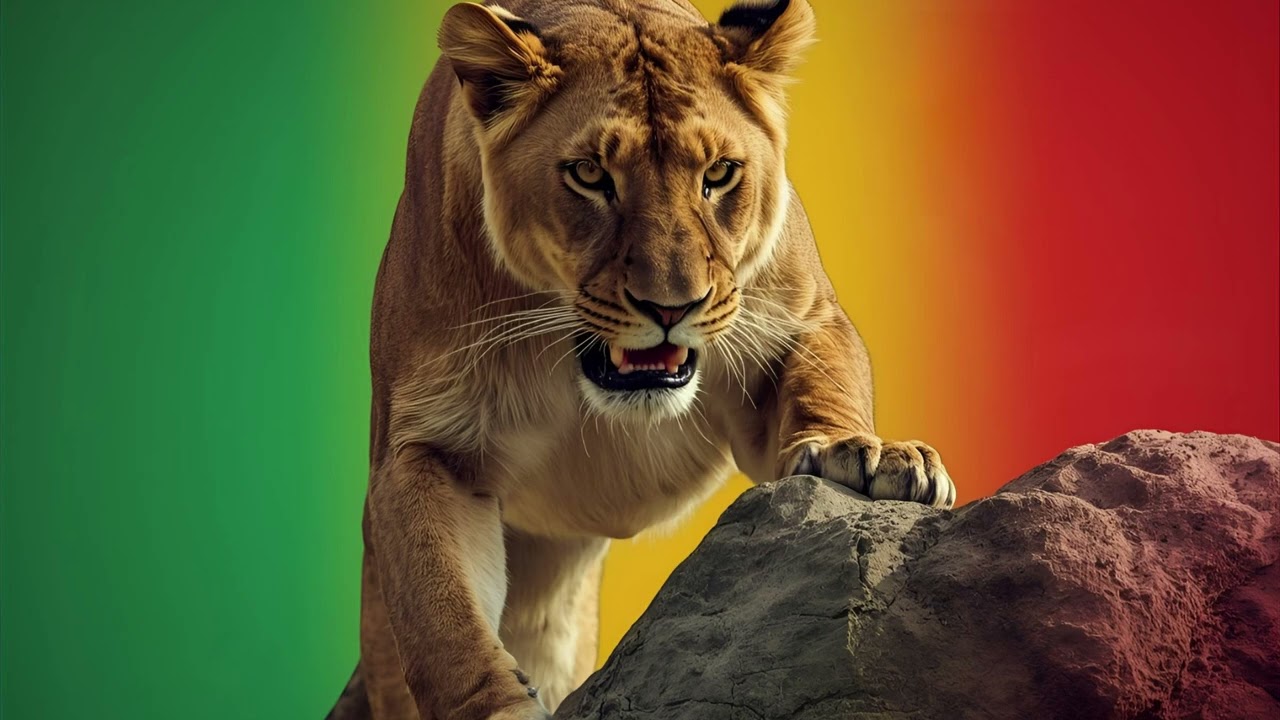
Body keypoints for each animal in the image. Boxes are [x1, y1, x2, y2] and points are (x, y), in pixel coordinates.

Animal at [326, 1, 957, 718]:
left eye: (719, 174)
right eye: (590, 174)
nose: (671, 305)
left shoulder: (799, 318)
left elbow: (825, 380)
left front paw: (867, 454)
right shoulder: (425, 448)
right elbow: (443, 614)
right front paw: (498, 705)